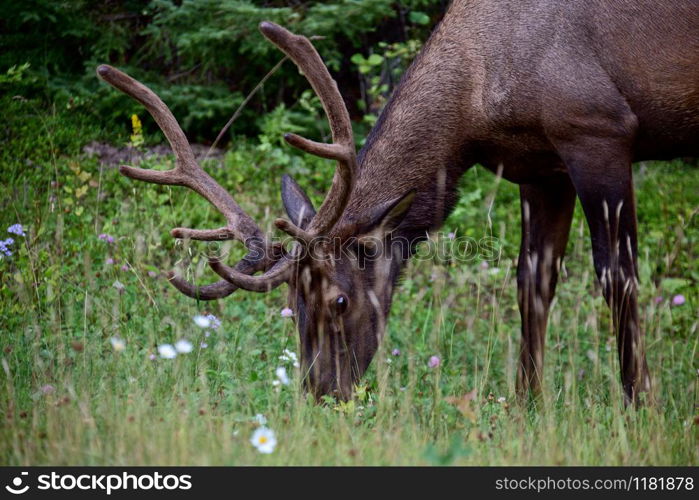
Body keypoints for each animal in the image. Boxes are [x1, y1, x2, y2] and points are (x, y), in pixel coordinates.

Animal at [100, 0, 699, 404]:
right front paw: (526, 402)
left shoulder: (598, 129)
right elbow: (533, 283)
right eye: (293, 302)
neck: (479, 97)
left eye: (340, 300)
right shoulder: (540, 166)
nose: (321, 393)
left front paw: (639, 402)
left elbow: (617, 275)